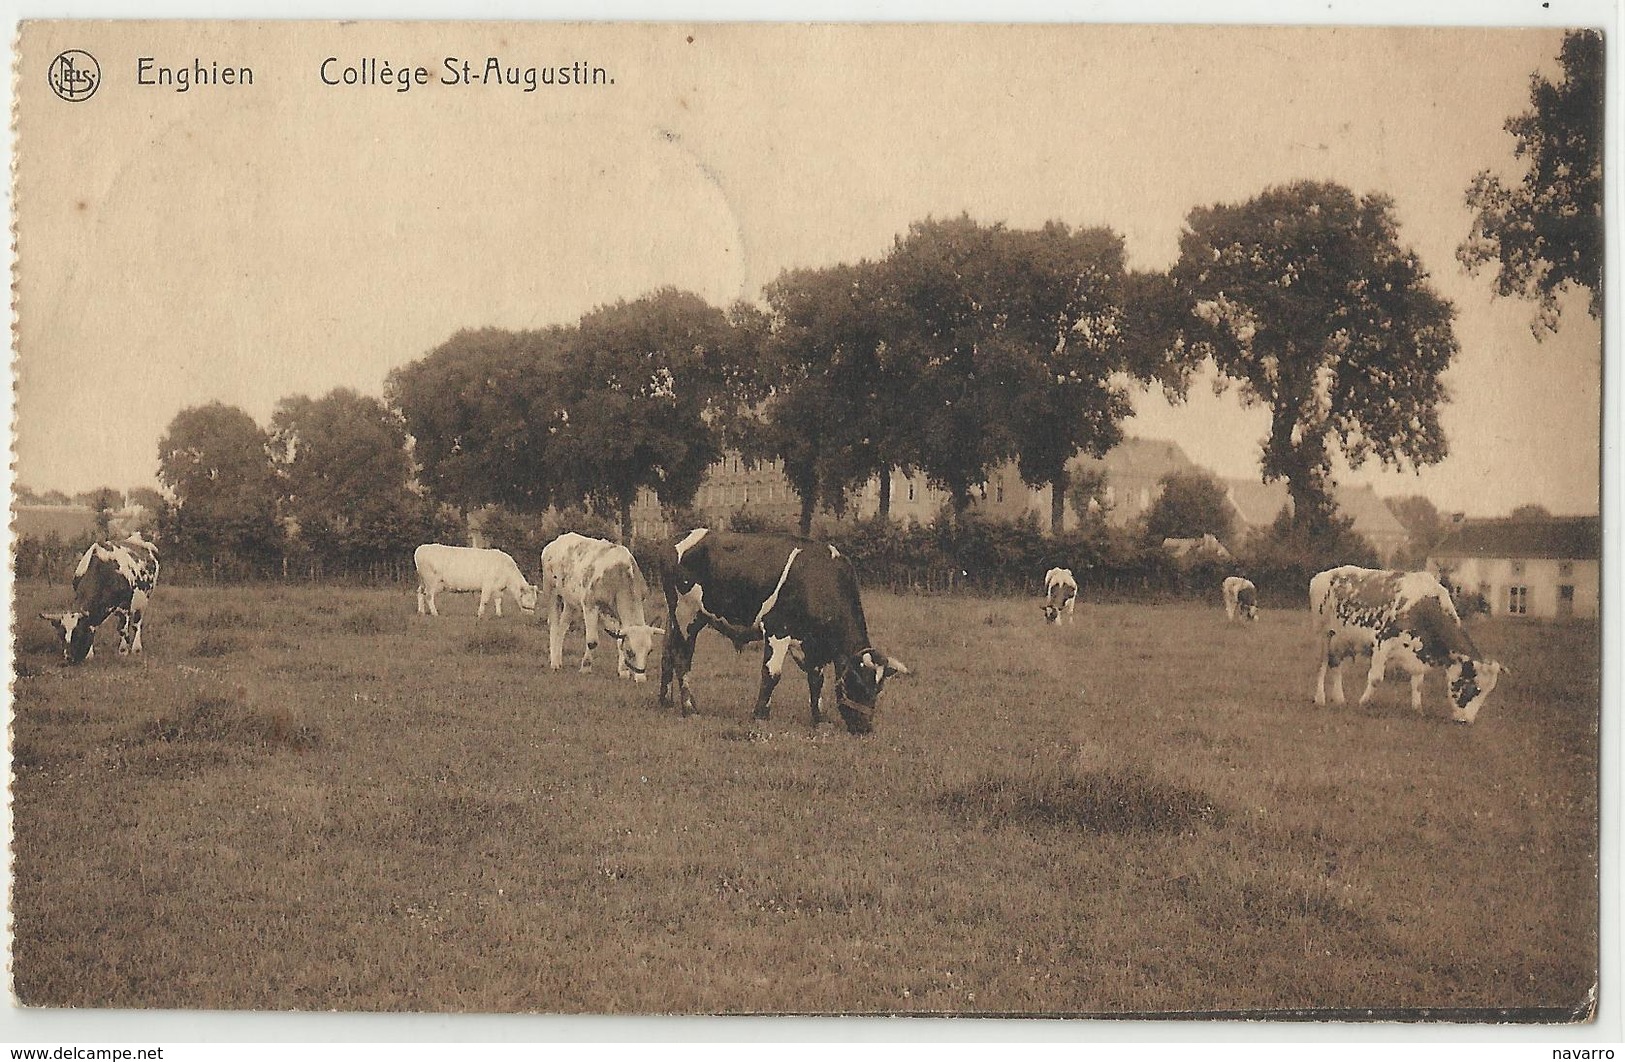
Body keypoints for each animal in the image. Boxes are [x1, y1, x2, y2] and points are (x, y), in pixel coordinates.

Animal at [40, 532, 160, 665]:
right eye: (61, 635)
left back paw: (136, 648)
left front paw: (123, 651)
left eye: (78, 633)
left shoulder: (125, 605)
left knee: (136, 624)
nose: (69, 658)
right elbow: (93, 626)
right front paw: (90, 654)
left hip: (143, 600)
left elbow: (122, 629)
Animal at [542, 535, 663, 685]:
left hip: (571, 602)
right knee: (554, 625)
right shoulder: (590, 604)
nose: (641, 679)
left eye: (650, 651)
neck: (620, 574)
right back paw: (554, 663)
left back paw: (558, 660)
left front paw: (623, 671)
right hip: (551, 591)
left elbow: (620, 639)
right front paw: (586, 667)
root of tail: (557, 541)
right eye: (630, 651)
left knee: (562, 627)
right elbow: (592, 641)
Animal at [656, 529, 910, 737]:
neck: (818, 578)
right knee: (682, 658)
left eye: (879, 688)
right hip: (687, 614)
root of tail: (673, 540)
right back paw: (690, 709)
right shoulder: (777, 629)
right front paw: (760, 715)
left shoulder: (812, 645)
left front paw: (820, 719)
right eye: (858, 682)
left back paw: (665, 701)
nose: (864, 728)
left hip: (676, 616)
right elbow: (772, 674)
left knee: (667, 654)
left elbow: (816, 679)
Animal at [1306, 565, 1508, 724]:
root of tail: (1324, 574)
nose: (1466, 721)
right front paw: (1362, 702)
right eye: (1475, 688)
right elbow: (1376, 678)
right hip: (1324, 634)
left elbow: (1417, 683)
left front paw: (1417, 709)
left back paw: (1339, 699)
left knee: (1335, 664)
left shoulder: (1419, 652)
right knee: (1322, 665)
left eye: (1487, 692)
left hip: (1342, 640)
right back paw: (1320, 698)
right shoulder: (1382, 641)